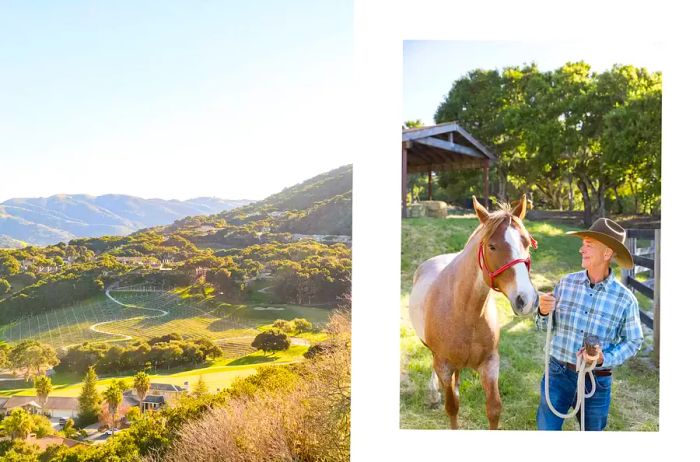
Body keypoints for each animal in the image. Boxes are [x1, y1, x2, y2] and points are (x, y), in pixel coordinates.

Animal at [408, 195, 540, 430]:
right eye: (492, 246)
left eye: (526, 242)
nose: (526, 299)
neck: (465, 312)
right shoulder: (444, 365)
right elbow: (452, 407)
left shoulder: (490, 364)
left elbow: (494, 409)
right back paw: (433, 394)